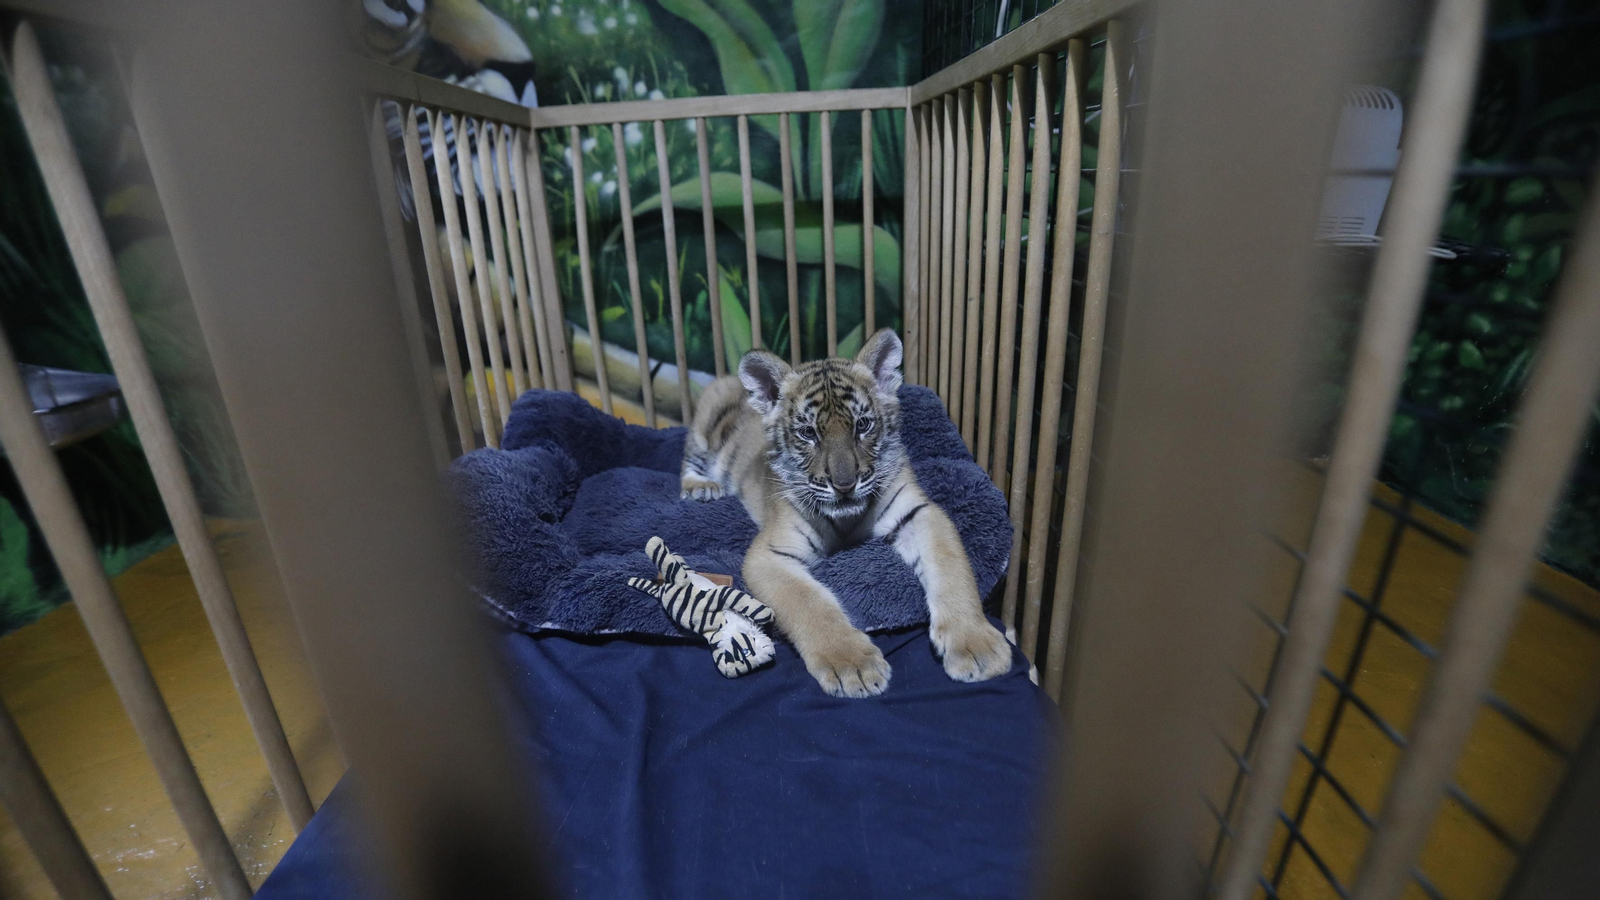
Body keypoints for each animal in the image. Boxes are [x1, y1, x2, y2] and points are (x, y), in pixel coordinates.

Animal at [680, 328, 1011, 698]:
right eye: (808, 433)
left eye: (863, 425)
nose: (845, 484)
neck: (848, 519)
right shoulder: (769, 555)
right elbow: (809, 603)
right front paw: (852, 665)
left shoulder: (919, 513)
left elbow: (951, 567)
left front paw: (976, 646)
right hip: (705, 423)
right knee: (688, 459)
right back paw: (701, 488)